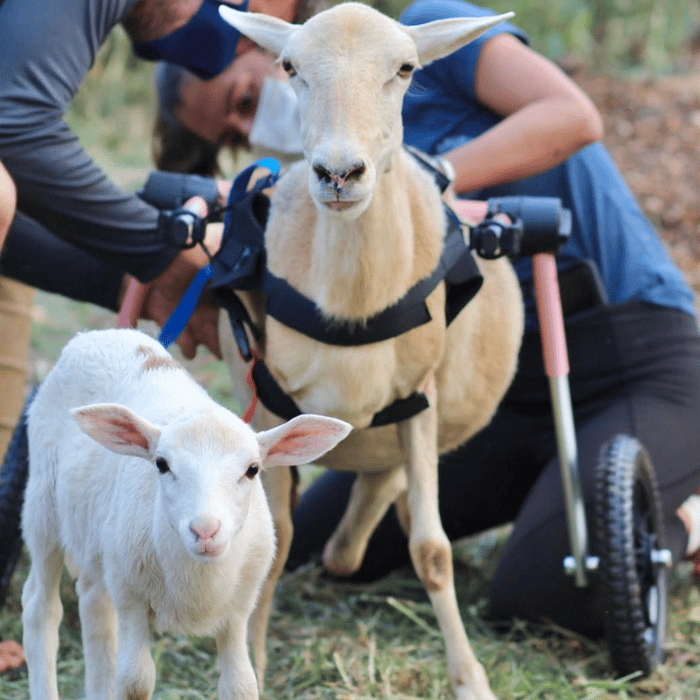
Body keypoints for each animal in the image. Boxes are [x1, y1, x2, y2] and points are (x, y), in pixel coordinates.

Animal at [21, 328, 350, 700]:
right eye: (162, 465)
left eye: (253, 469)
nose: (205, 531)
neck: (197, 584)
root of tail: (99, 333)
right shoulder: (132, 598)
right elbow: (135, 681)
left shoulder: (239, 610)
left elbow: (241, 684)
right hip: (43, 504)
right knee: (40, 608)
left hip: (97, 546)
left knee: (95, 610)